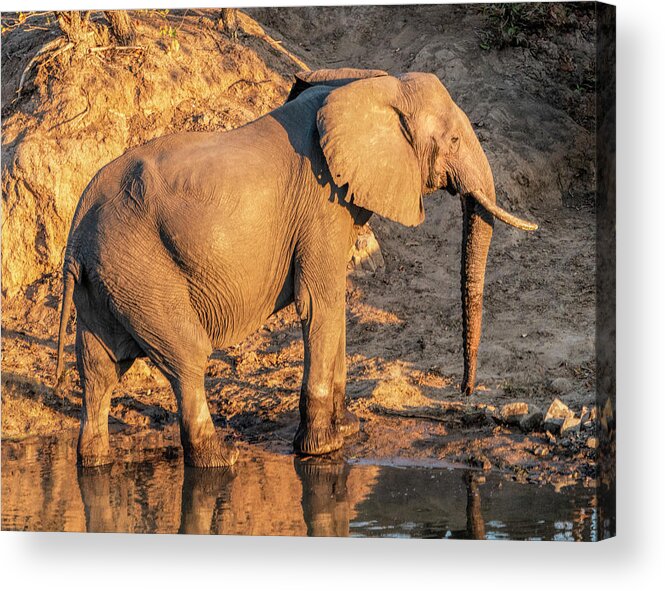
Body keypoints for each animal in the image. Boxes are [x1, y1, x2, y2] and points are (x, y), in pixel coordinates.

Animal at [55, 67, 536, 470]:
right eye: (452, 142)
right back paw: (220, 459)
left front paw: (347, 430)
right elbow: (320, 303)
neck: (375, 85)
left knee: (99, 367)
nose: (465, 393)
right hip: (141, 269)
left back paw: (93, 462)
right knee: (187, 357)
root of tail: (76, 232)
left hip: (110, 277)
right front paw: (323, 448)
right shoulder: (320, 204)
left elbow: (335, 305)